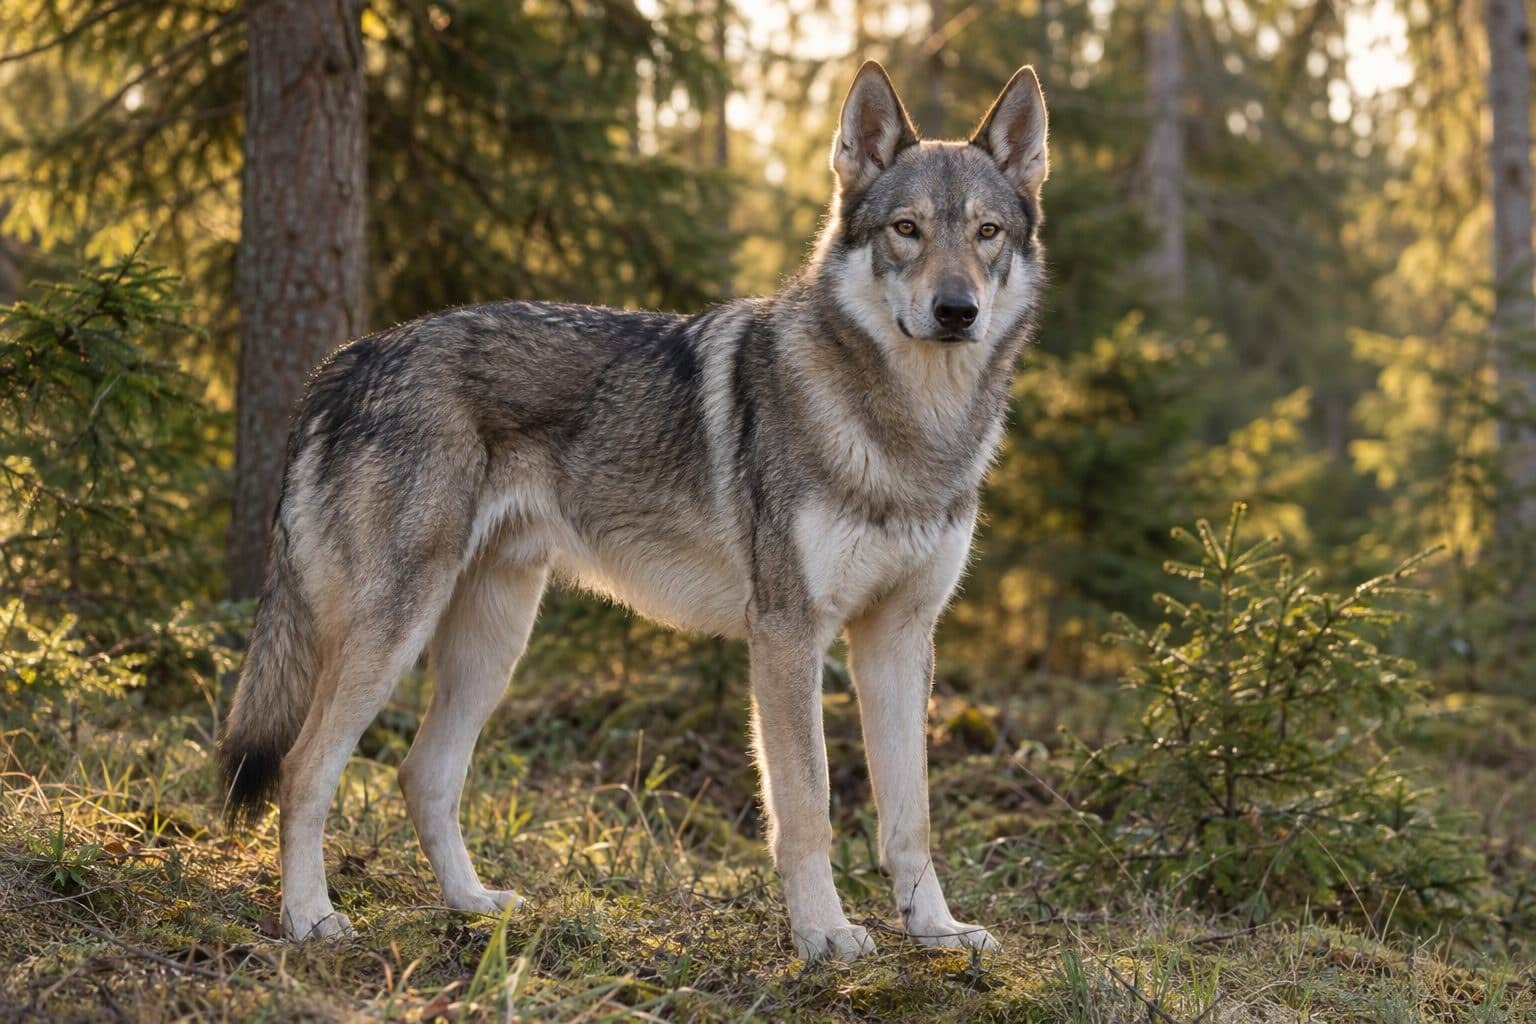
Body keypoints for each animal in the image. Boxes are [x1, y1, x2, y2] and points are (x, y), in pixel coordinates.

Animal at [219, 60, 1049, 960]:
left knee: (423, 773)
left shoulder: (899, 638)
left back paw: (472, 905)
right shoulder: (787, 632)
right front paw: (825, 936)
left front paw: (935, 929)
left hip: (492, 642)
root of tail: (353, 355)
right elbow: (808, 808)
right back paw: (310, 918)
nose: (957, 311)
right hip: (397, 629)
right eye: (906, 229)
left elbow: (912, 817)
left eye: (987, 233)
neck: (913, 432)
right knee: (304, 768)